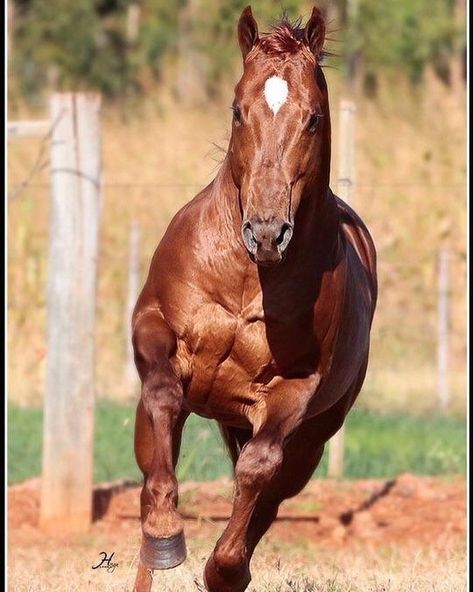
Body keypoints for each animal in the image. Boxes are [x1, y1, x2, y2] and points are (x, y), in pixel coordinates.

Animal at [132, 5, 376, 592]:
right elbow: (163, 397)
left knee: (271, 492)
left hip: (312, 439)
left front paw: (223, 568)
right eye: (238, 111)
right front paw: (167, 532)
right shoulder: (151, 325)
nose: (266, 232)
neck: (247, 278)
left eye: (313, 118)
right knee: (152, 462)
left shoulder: (295, 388)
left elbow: (258, 470)